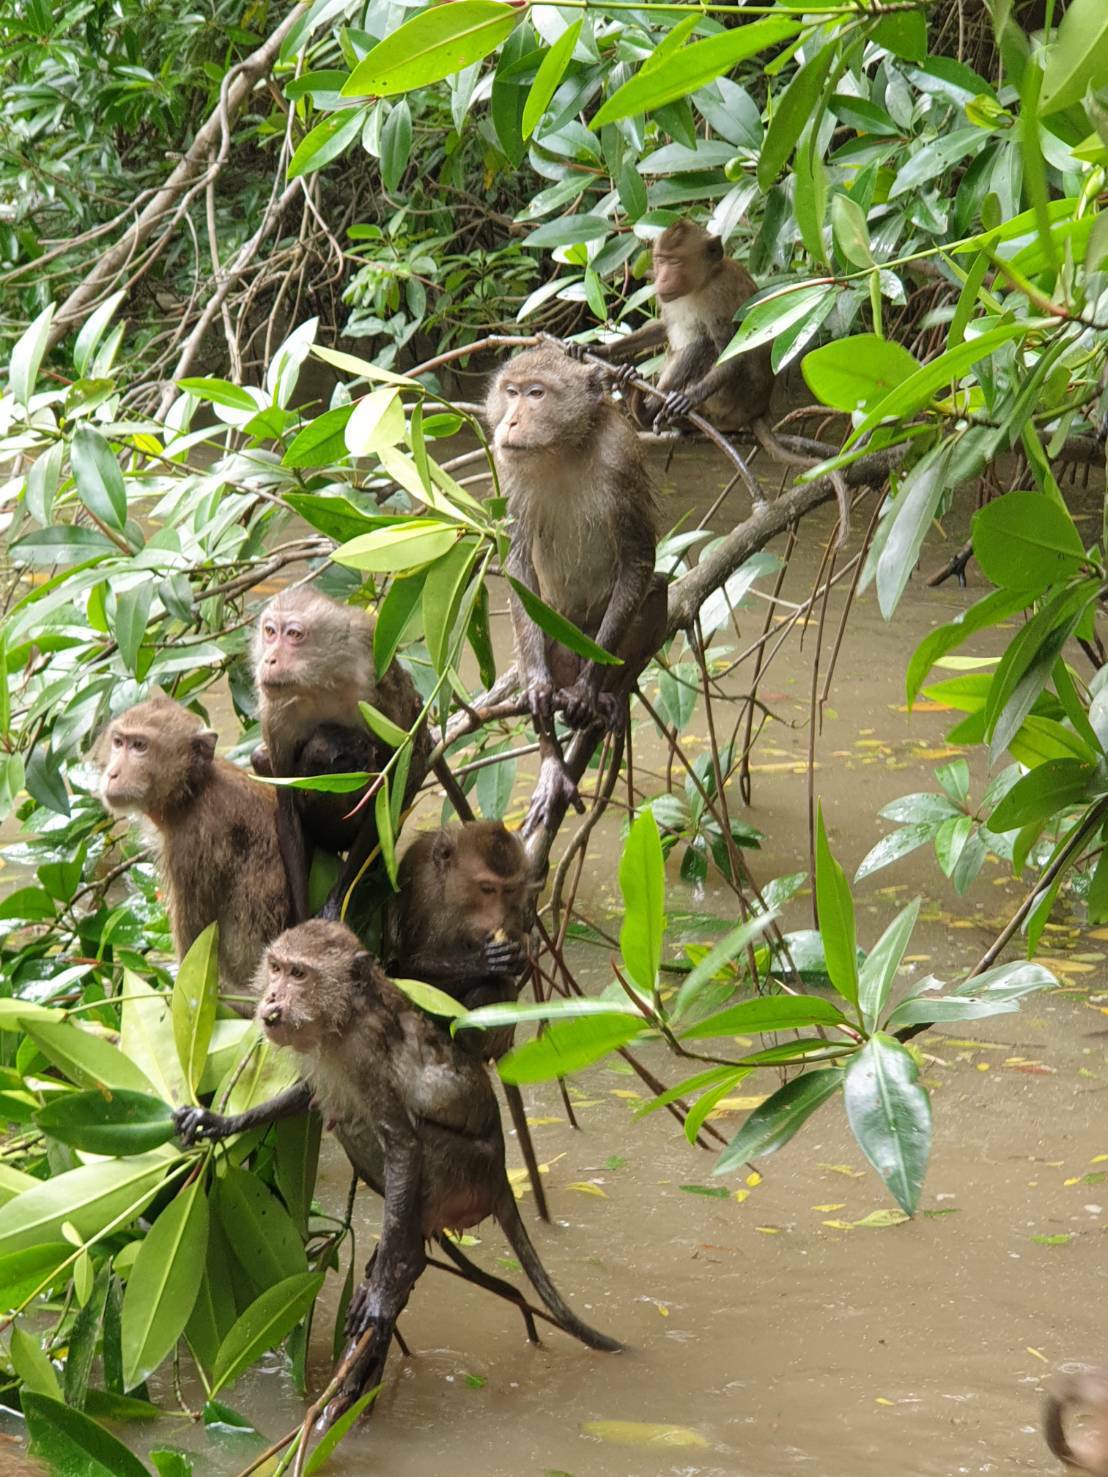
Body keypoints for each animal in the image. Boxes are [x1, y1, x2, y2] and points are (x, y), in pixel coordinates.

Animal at [97, 693, 289, 1005]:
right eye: (118, 742)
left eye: (140, 746)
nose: (112, 773)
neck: (192, 791)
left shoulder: (191, 844)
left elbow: (194, 955)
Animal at [174, 921, 621, 1421]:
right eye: (275, 967)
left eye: (298, 973)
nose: (271, 997)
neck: (344, 1018)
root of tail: (502, 1178)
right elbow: (309, 1095)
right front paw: (221, 1122)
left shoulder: (367, 1056)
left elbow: (404, 1144)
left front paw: (385, 1291)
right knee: (346, 1120)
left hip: (470, 1176)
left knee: (398, 1136)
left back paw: (405, 1260)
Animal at [253, 587, 472, 922]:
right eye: (269, 632)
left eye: (294, 635)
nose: (269, 659)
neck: (319, 683)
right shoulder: (275, 715)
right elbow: (287, 809)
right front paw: (301, 919)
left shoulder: (373, 677)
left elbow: (396, 776)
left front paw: (336, 901)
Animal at [486, 347, 668, 822]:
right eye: (510, 392)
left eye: (536, 394)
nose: (510, 421)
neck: (562, 449)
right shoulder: (507, 467)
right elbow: (517, 564)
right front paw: (537, 686)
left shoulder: (620, 457)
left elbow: (639, 558)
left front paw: (589, 689)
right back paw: (552, 756)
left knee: (656, 594)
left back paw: (609, 697)